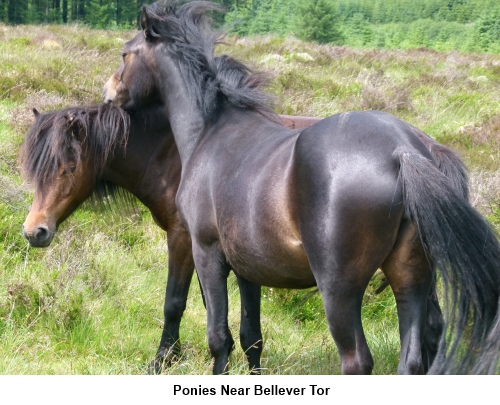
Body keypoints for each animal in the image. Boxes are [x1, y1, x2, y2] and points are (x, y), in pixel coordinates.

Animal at [103, 0, 500, 374]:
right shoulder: (248, 267)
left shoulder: (206, 251)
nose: (108, 94)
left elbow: (219, 338)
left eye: (125, 53)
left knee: (357, 360)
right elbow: (251, 337)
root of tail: (403, 149)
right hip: (411, 279)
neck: (210, 132)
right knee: (414, 356)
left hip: (339, 289)